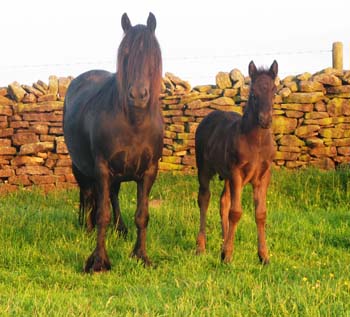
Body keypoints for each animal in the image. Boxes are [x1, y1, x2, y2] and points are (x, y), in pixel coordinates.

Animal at [63, 11, 163, 270]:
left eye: (152, 54)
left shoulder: (149, 171)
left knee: (113, 195)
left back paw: (121, 229)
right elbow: (102, 214)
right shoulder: (102, 169)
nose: (138, 95)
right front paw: (98, 262)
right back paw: (87, 229)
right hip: (82, 168)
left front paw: (141, 256)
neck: (134, 122)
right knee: (89, 195)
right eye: (125, 54)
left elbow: (142, 215)